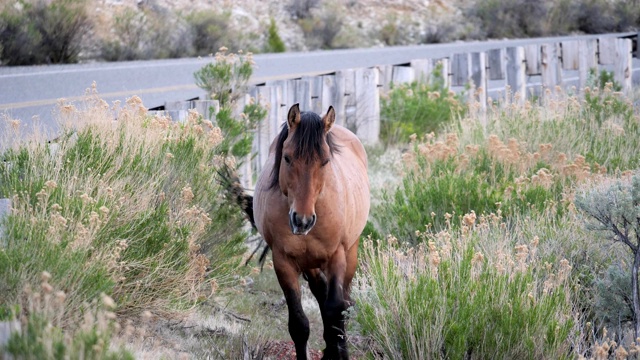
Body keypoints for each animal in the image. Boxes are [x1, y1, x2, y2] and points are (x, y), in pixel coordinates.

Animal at [251, 102, 368, 358]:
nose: (302, 221)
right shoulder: (283, 262)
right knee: (321, 294)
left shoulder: (337, 257)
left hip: (351, 253)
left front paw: (338, 352)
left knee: (342, 303)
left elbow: (335, 314)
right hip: (310, 264)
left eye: (325, 161)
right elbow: (299, 325)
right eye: (287, 158)